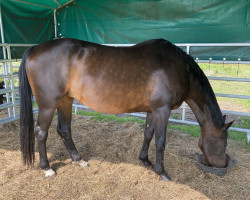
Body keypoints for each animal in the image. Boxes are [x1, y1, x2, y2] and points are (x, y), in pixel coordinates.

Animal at [18, 38, 233, 180]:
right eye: (224, 143)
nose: (223, 165)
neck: (180, 69)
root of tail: (36, 48)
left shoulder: (152, 110)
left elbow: (148, 134)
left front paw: (145, 160)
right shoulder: (162, 110)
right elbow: (160, 141)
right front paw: (161, 172)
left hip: (65, 100)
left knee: (64, 130)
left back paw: (79, 160)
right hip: (48, 104)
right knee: (41, 132)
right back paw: (47, 168)